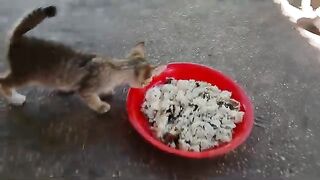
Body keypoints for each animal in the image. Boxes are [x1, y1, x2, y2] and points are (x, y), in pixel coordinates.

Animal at [0, 5, 165, 114]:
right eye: (148, 80)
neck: (116, 68)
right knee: (3, 81)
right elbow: (92, 99)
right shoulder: (85, 89)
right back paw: (15, 99)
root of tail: (19, 38)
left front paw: (106, 92)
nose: (146, 85)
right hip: (25, 74)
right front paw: (101, 106)